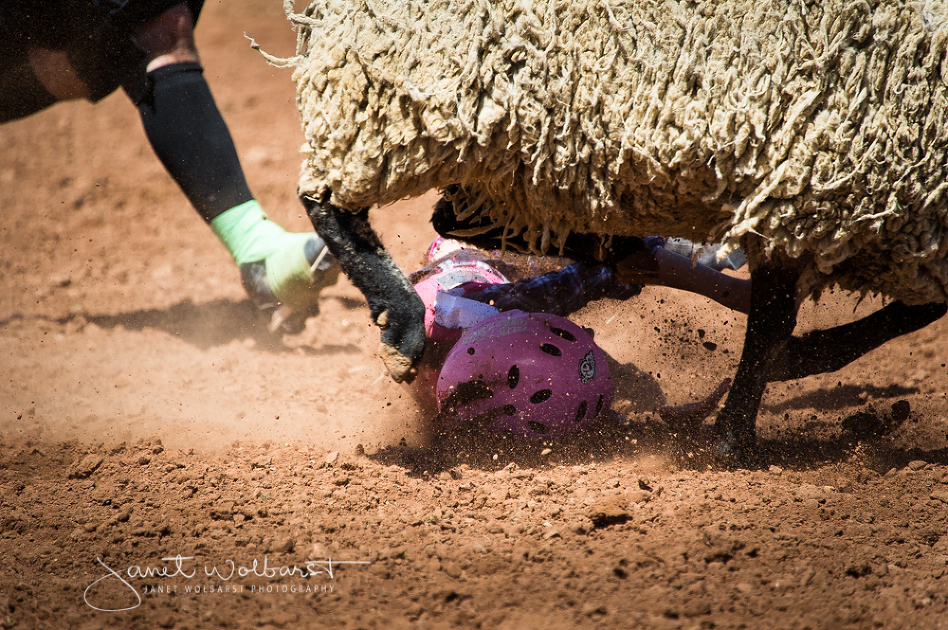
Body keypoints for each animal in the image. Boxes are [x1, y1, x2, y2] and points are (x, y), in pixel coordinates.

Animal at [272, 0, 948, 464]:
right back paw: (406, 318)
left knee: (468, 220)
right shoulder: (804, 179)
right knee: (337, 196)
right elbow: (775, 320)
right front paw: (733, 436)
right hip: (431, 81)